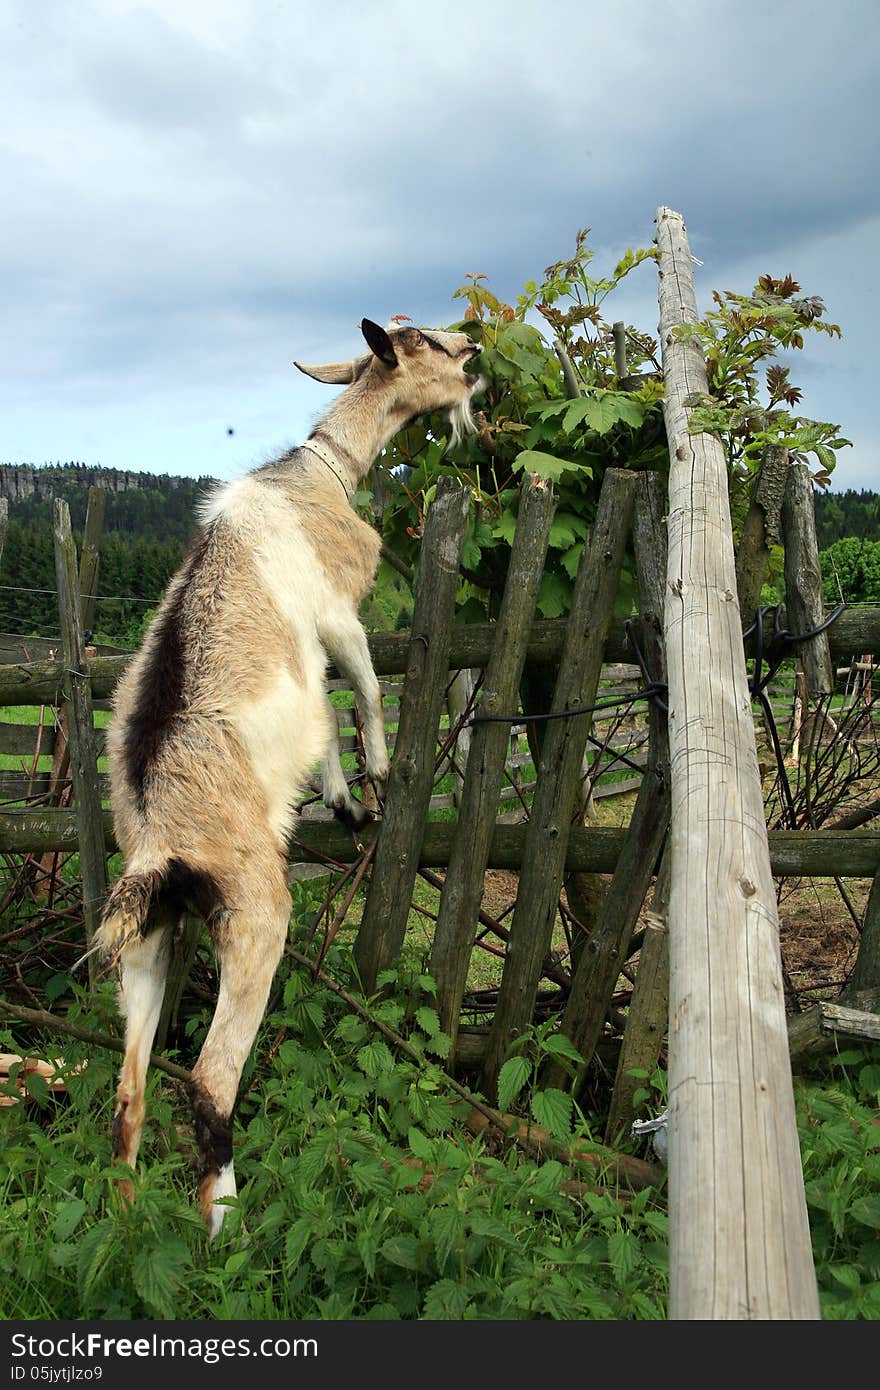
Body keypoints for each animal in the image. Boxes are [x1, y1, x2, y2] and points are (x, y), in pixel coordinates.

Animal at [95, 318, 481, 1239]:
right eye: (420, 340)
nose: (476, 355)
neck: (315, 475)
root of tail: (157, 842)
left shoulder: (312, 655)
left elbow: (324, 714)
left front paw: (340, 795)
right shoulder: (339, 614)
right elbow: (365, 689)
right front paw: (377, 776)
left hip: (152, 936)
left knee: (129, 1091)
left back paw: (124, 1223)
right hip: (255, 913)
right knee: (208, 1079)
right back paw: (224, 1226)